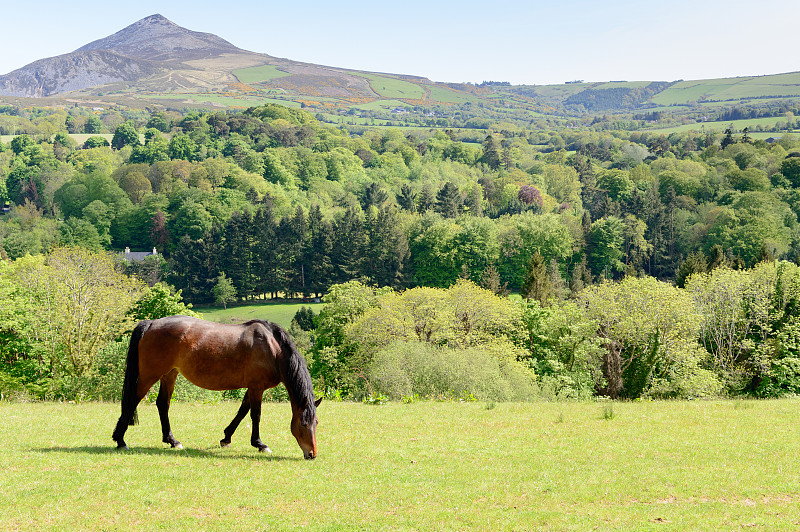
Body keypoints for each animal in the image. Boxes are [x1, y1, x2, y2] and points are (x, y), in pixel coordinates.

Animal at [110, 314, 322, 460]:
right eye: (303, 424)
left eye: (316, 423)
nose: (311, 454)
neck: (272, 349)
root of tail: (152, 323)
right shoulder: (257, 387)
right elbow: (255, 415)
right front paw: (259, 444)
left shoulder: (251, 388)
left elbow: (242, 411)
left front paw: (226, 438)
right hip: (150, 375)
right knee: (132, 400)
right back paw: (120, 440)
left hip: (169, 374)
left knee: (162, 404)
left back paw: (172, 441)